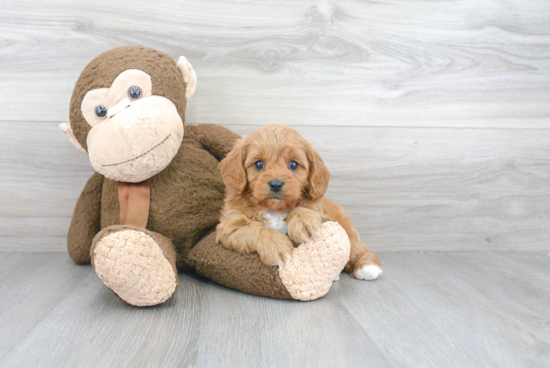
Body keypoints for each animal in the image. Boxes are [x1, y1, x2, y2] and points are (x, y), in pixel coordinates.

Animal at [216, 122, 384, 280]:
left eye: (293, 164)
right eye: (259, 164)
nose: (275, 184)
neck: (275, 209)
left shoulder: (318, 210)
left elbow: (305, 208)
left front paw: (303, 222)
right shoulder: (228, 228)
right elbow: (253, 228)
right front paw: (276, 246)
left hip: (347, 230)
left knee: (357, 248)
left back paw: (367, 267)